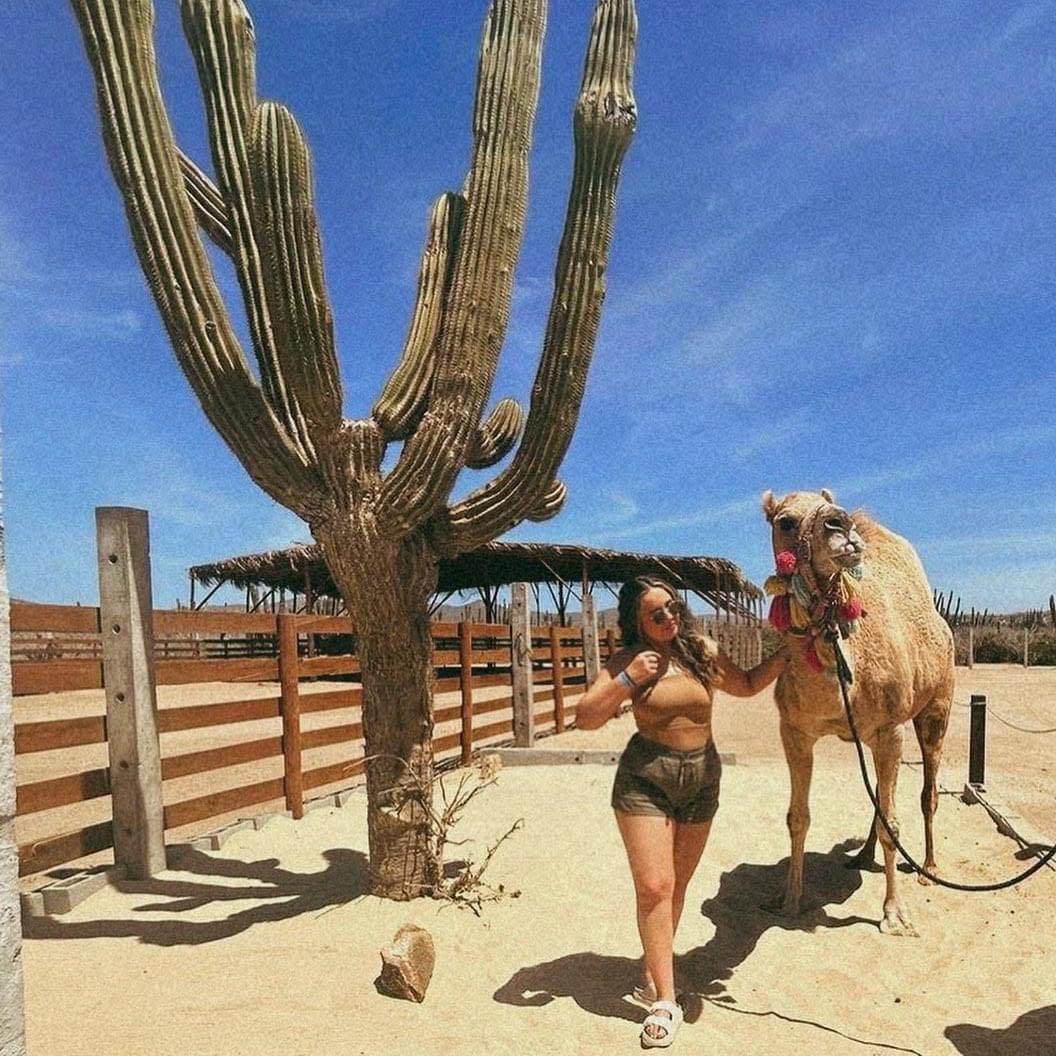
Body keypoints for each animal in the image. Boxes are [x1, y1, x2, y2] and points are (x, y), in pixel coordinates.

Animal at [761, 488, 954, 936]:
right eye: (785, 522)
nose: (840, 523)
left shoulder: (891, 728)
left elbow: (892, 821)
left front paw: (894, 915)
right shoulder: (794, 730)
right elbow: (798, 817)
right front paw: (789, 900)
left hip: (937, 706)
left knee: (927, 790)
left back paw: (929, 867)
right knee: (879, 795)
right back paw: (862, 857)